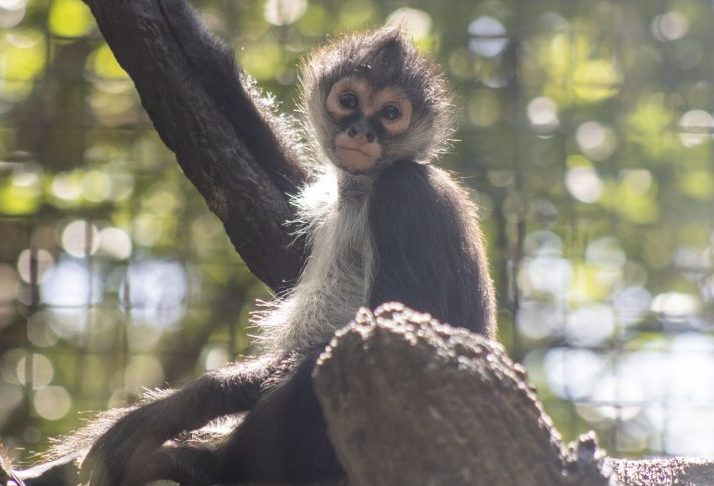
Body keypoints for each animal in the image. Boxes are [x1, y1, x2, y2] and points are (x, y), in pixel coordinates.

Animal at [13, 3, 496, 485]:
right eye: (349, 101)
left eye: (391, 112)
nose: (362, 132)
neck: (362, 189)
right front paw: (203, 51)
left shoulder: (406, 191)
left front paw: (184, 403)